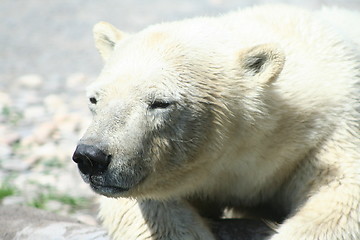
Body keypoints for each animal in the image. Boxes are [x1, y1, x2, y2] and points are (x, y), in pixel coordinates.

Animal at [72, 4, 360, 240]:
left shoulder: (329, 134)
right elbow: (146, 206)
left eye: (160, 102)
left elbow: (344, 195)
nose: (91, 157)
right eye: (94, 99)